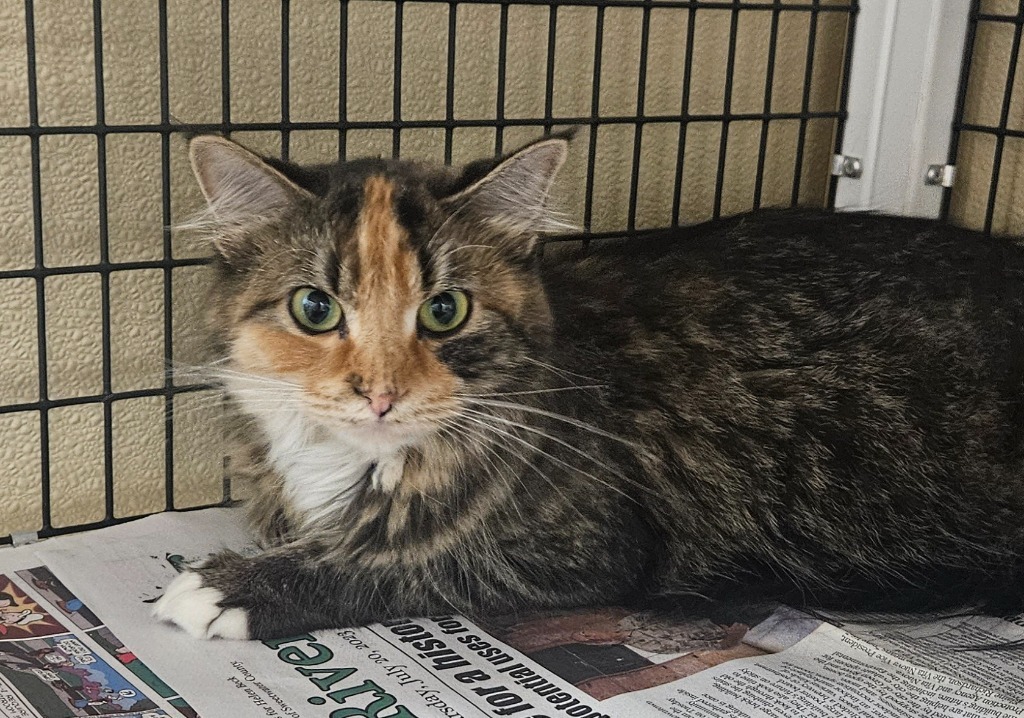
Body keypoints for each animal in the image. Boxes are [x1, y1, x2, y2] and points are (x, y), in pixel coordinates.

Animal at [151, 133, 1024, 639]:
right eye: (315, 308)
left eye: (444, 310)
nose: (380, 394)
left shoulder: (590, 550)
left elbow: (404, 563)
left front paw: (234, 589)